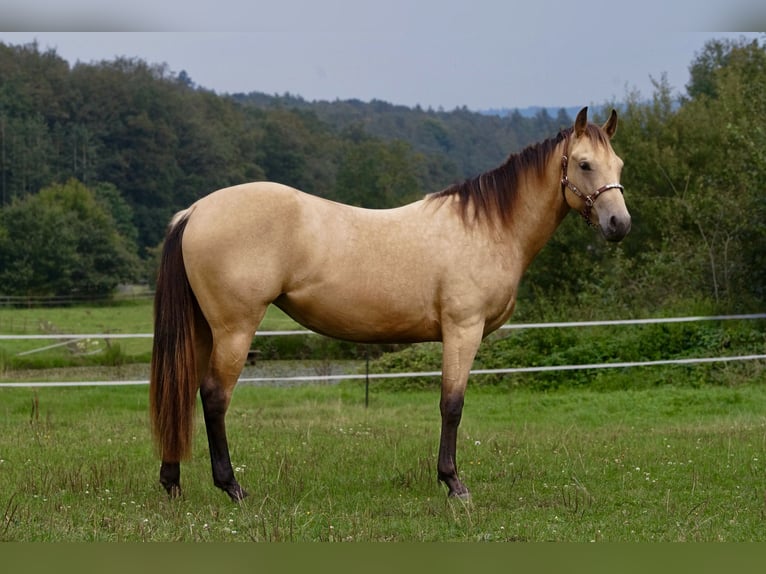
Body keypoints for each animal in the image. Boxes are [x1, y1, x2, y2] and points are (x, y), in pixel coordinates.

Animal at [148, 106, 632, 502]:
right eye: (585, 164)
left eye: (619, 164)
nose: (619, 224)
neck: (487, 228)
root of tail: (195, 211)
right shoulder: (463, 329)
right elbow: (451, 405)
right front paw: (453, 483)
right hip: (234, 329)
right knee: (214, 396)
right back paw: (231, 487)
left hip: (204, 329)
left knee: (183, 388)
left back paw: (172, 483)